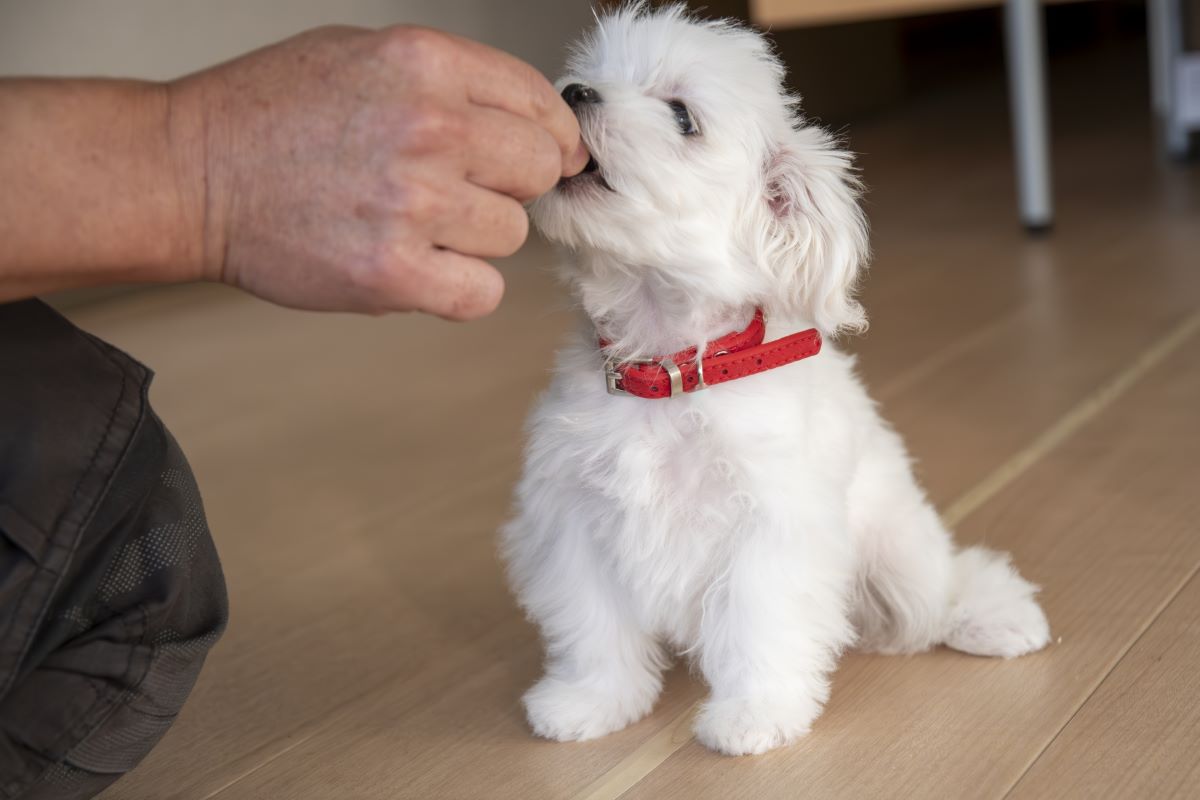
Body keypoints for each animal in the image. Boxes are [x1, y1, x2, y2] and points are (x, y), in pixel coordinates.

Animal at [501, 4, 1046, 758]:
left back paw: (992, 621)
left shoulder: (768, 529)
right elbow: (595, 629)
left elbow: (760, 625)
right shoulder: (573, 521)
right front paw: (591, 703)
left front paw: (754, 716)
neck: (669, 369)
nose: (574, 92)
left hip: (900, 557)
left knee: (945, 591)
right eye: (592, 74)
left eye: (682, 116)